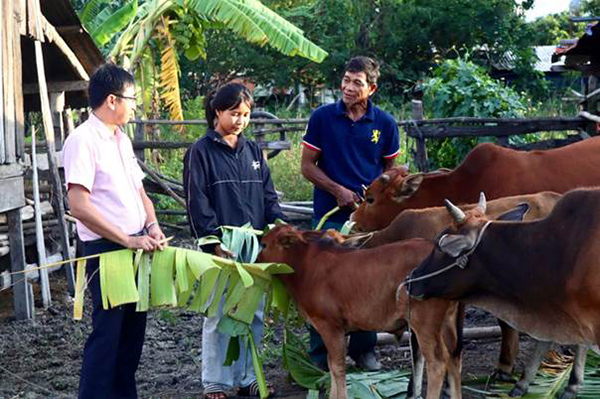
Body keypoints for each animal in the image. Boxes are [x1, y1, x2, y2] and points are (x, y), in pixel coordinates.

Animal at [255, 225, 462, 399]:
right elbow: (331, 365)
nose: (255, 262)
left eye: (264, 244)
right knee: (454, 358)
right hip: (447, 320)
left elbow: (338, 367)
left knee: (437, 364)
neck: (305, 267)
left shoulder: (330, 327)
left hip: (424, 322)